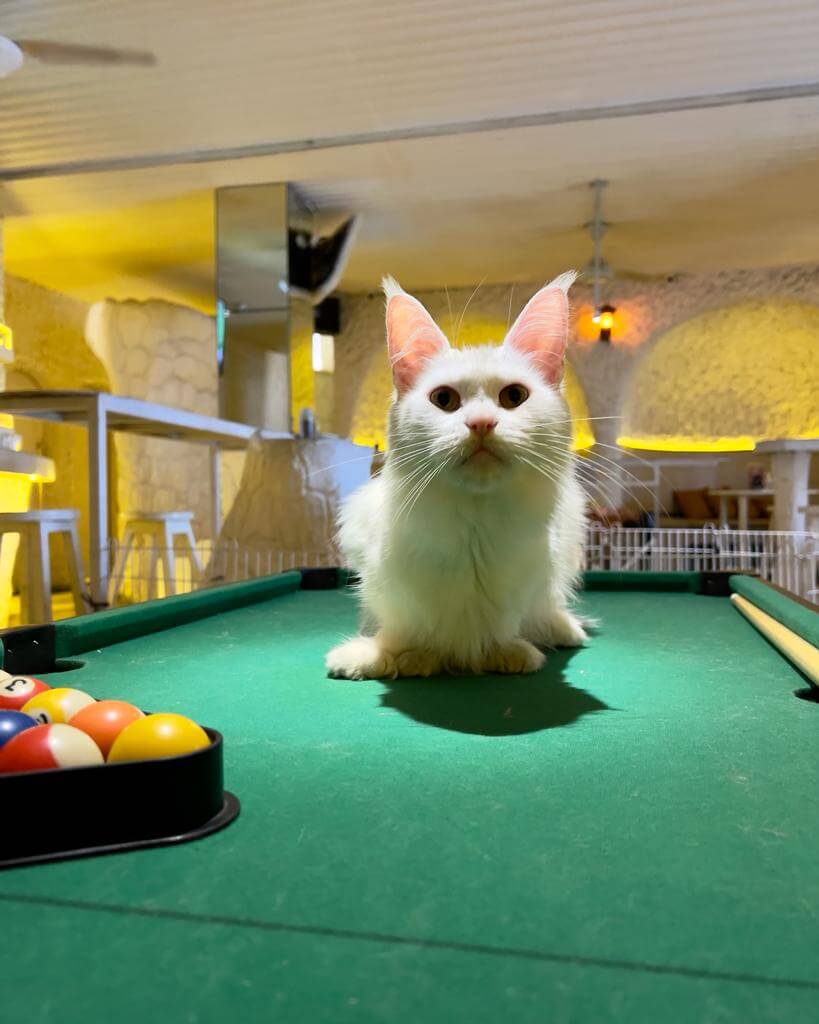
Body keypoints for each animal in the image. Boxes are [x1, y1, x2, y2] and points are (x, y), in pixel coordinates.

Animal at [325, 272, 589, 679]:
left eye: (514, 397)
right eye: (444, 400)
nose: (481, 424)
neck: (474, 525)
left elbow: (503, 628)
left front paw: (505, 653)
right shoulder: (384, 580)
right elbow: (403, 632)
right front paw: (398, 657)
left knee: (548, 609)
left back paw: (563, 630)